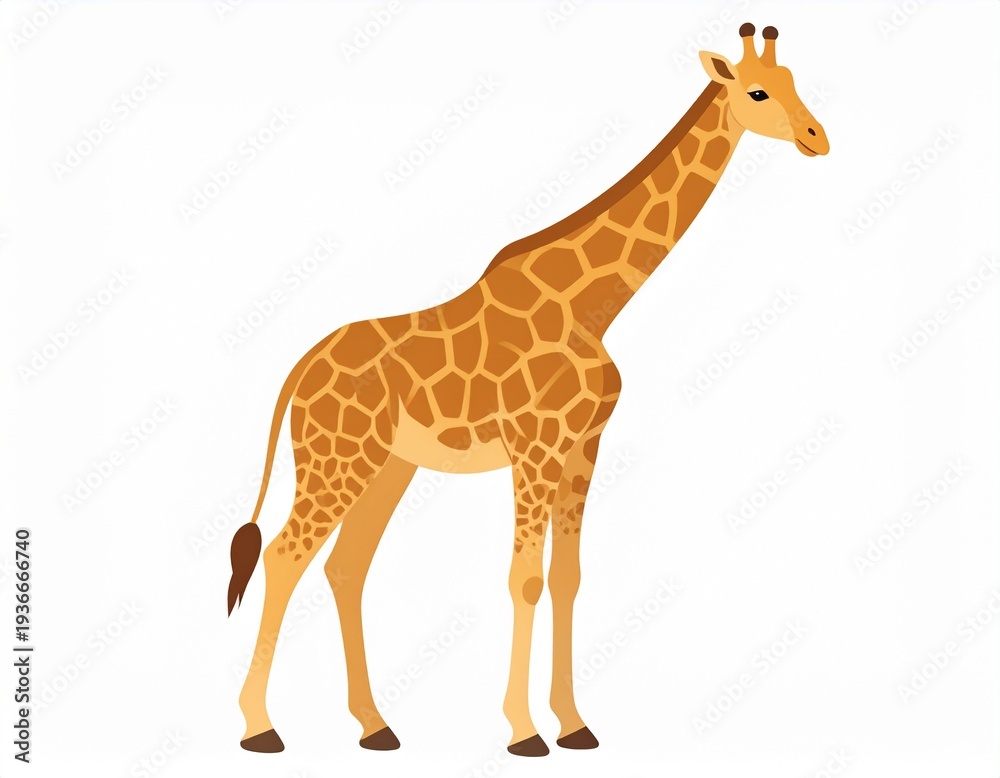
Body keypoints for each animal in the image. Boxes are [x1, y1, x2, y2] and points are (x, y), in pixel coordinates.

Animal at [228, 23, 828, 757]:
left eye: (795, 80)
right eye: (758, 92)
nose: (817, 137)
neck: (594, 304)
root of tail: (302, 366)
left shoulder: (582, 447)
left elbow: (567, 579)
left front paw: (573, 724)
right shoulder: (535, 447)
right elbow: (527, 579)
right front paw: (523, 732)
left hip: (388, 465)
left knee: (345, 566)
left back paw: (375, 726)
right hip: (337, 458)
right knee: (285, 555)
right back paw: (260, 728)